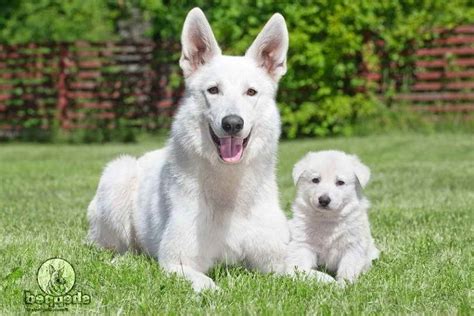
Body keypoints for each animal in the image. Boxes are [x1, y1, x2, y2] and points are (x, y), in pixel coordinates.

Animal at [88, 7, 334, 290]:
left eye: (251, 92)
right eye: (213, 90)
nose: (232, 123)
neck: (230, 192)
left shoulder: (278, 260)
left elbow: (316, 276)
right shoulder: (177, 262)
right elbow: (208, 286)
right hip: (118, 176)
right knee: (112, 248)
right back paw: (123, 259)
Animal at [286, 149, 380, 282]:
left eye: (340, 182)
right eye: (315, 180)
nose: (324, 200)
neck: (328, 219)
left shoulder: (353, 246)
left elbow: (348, 268)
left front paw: (343, 284)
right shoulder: (302, 245)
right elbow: (302, 270)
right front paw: (327, 280)